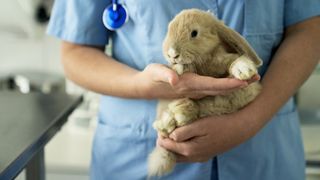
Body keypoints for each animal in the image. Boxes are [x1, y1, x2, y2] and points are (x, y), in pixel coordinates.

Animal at [148, 8, 262, 177]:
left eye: (194, 33)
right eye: (169, 29)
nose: (172, 54)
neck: (205, 63)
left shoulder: (223, 60)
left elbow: (234, 61)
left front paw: (244, 70)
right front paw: (180, 68)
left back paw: (178, 115)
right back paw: (170, 120)